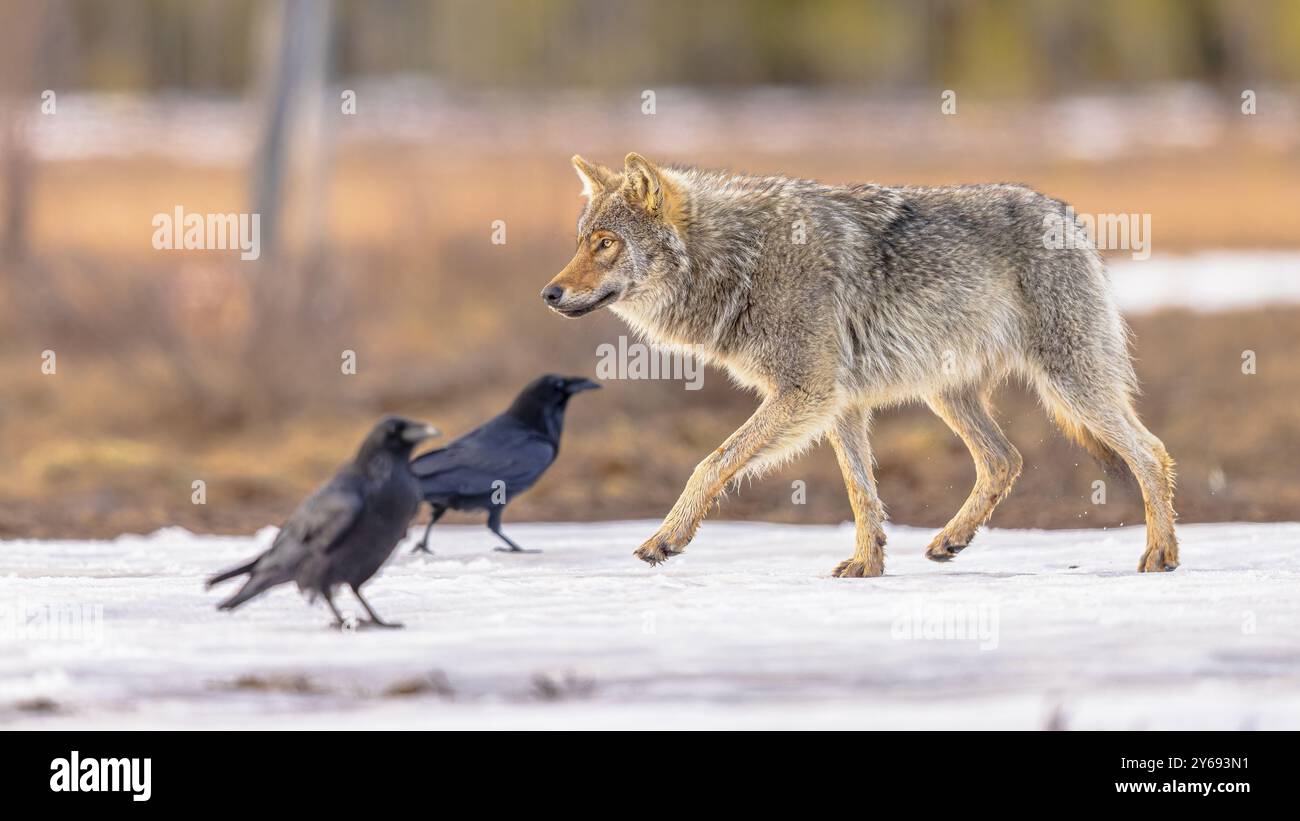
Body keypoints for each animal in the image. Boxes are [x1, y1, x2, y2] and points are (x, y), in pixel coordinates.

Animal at [538, 153, 1180, 576]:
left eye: (605, 243)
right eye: (581, 240)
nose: (548, 293)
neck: (741, 261)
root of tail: (1067, 212)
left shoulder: (806, 393)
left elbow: (709, 463)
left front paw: (666, 539)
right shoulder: (839, 404)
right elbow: (860, 490)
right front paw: (867, 563)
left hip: (1069, 384)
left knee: (1151, 452)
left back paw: (1161, 554)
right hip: (951, 393)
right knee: (1005, 460)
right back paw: (950, 541)